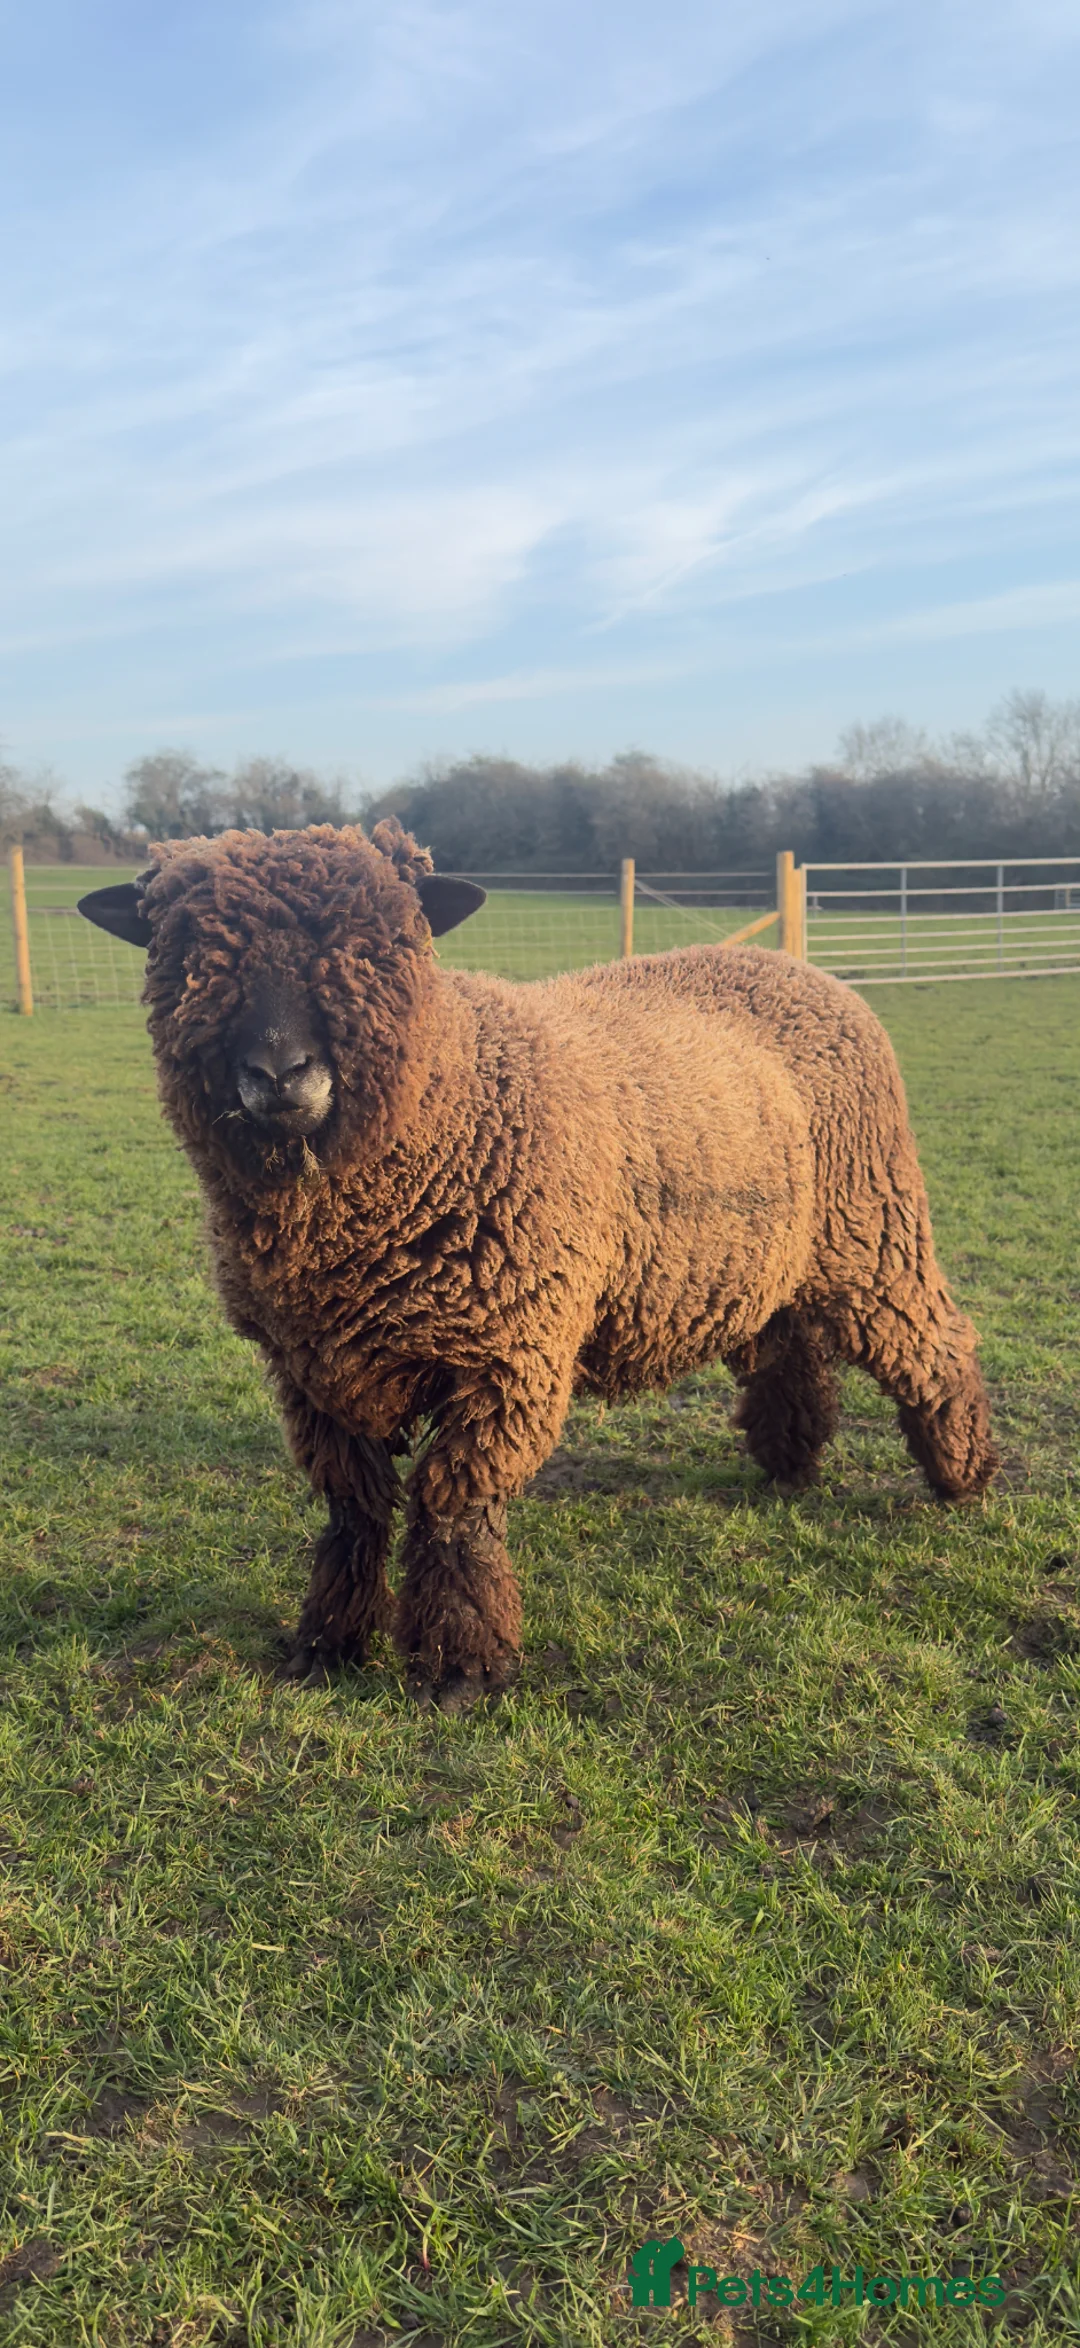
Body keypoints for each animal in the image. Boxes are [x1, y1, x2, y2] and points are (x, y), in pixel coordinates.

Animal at [80, 820, 998, 1710]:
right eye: (187, 955)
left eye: (383, 944)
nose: (279, 1072)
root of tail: (805, 971)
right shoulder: (310, 1371)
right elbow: (353, 1509)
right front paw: (329, 1645)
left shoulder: (508, 1349)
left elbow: (454, 1505)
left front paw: (460, 1669)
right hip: (769, 1257)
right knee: (790, 1343)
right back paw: (790, 1463)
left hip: (871, 1230)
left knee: (935, 1341)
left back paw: (963, 1475)